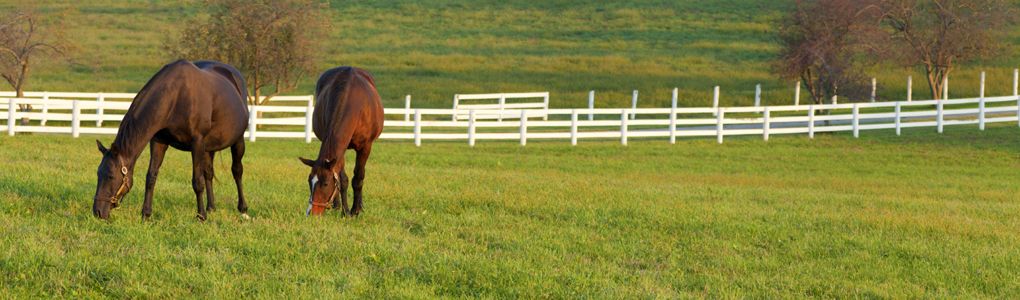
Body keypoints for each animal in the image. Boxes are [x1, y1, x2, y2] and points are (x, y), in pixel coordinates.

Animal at [93, 59, 250, 221]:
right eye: (98, 174)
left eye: (111, 176)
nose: (98, 212)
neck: (176, 97)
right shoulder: (159, 140)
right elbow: (151, 176)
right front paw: (146, 214)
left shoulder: (197, 142)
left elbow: (197, 181)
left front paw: (201, 216)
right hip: (209, 146)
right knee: (209, 172)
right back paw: (211, 207)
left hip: (238, 141)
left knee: (237, 171)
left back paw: (243, 209)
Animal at [301, 66, 385, 215]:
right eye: (309, 181)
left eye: (325, 184)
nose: (311, 212)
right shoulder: (341, 149)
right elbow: (342, 180)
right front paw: (345, 211)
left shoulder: (365, 146)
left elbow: (358, 178)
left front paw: (355, 211)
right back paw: (337, 205)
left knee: (360, 174)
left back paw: (360, 206)